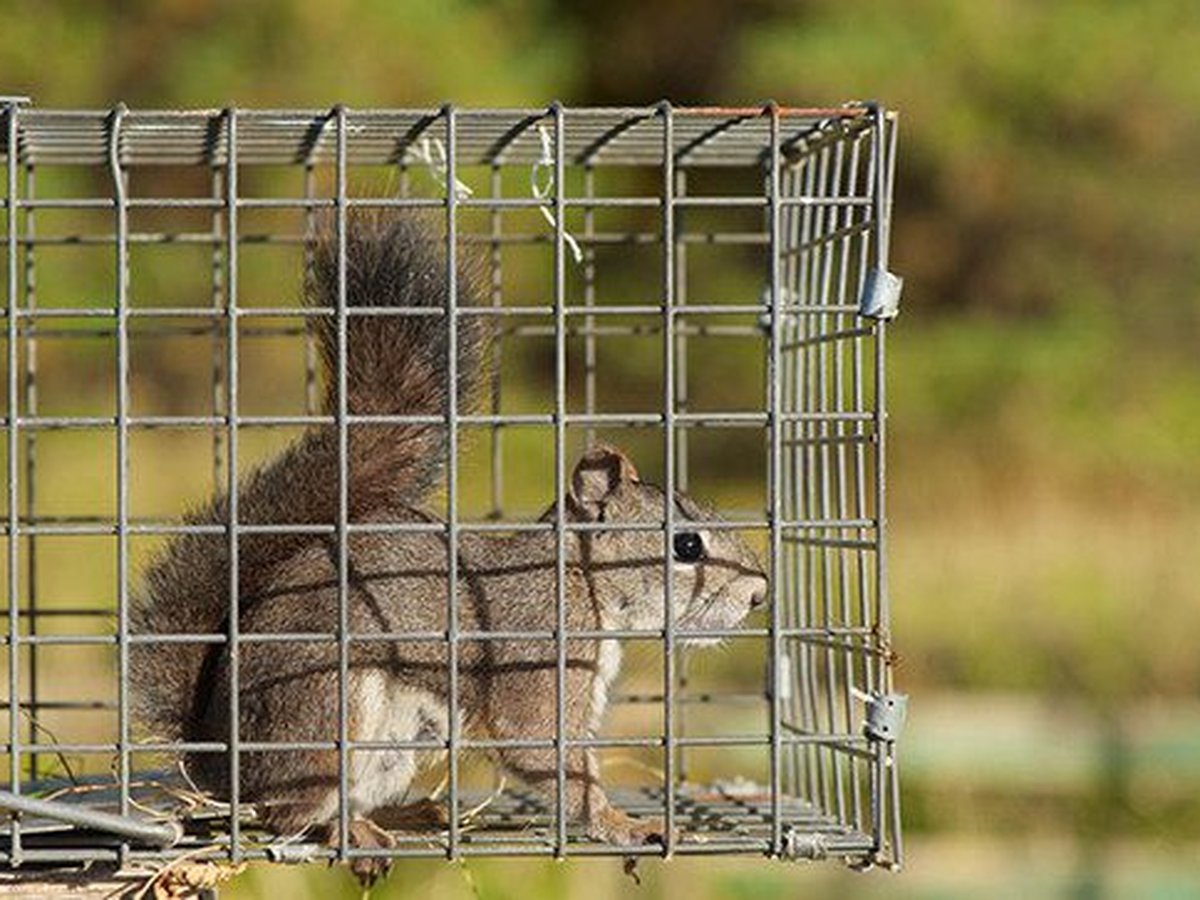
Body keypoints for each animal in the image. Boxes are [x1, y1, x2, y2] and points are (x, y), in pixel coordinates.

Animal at [130, 208, 768, 883]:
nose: (760, 595)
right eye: (687, 545)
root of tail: (219, 761)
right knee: (288, 812)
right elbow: (547, 754)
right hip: (326, 705)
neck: (580, 585)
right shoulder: (533, 659)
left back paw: (407, 814)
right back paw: (351, 830)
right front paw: (625, 825)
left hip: (396, 744)